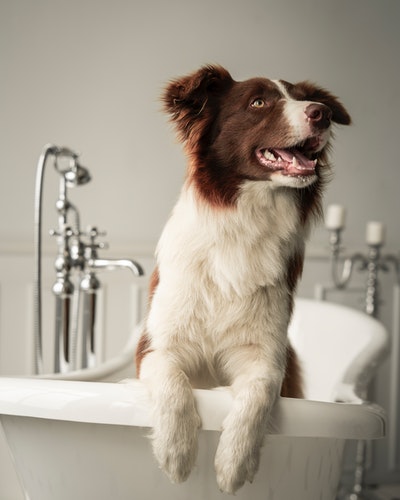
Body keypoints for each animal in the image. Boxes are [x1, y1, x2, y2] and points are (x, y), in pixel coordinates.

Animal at [135, 64, 350, 494]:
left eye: (304, 97)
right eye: (258, 102)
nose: (321, 113)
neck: (245, 222)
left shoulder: (266, 354)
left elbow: (258, 390)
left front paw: (233, 463)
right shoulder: (155, 346)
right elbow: (171, 380)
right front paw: (176, 452)